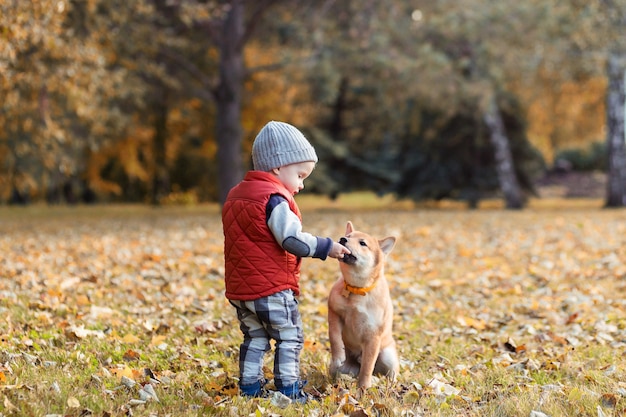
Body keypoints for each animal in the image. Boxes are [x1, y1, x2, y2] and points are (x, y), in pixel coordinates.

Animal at [326, 223, 400, 388]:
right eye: (348, 236)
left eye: (362, 243)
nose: (342, 239)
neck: (357, 290)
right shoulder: (334, 313)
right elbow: (335, 338)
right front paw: (338, 355)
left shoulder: (373, 335)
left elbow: (367, 368)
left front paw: (363, 389)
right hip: (341, 370)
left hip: (388, 356)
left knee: (387, 375)